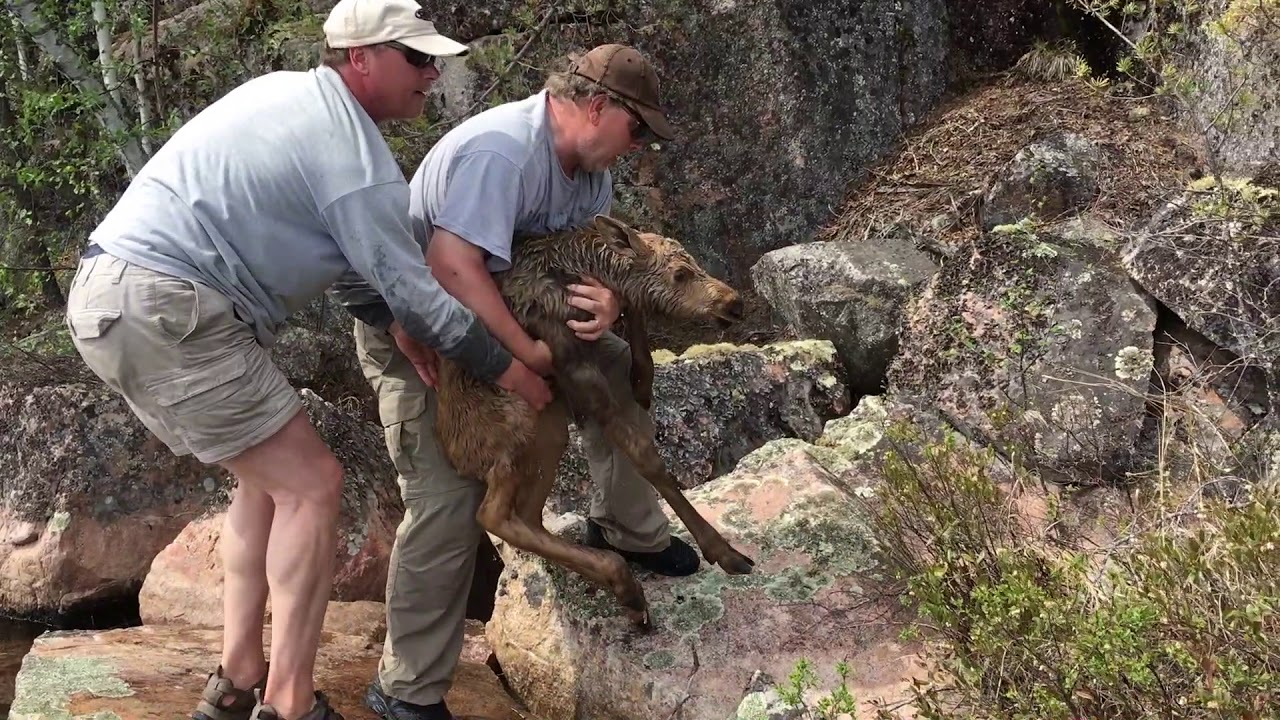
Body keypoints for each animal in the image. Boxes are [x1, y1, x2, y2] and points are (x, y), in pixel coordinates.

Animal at [432, 214, 756, 628]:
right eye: (680, 274)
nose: (734, 302)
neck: (581, 272)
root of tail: (457, 457)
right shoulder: (572, 363)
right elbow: (644, 453)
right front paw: (723, 550)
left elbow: (635, 325)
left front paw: (642, 377)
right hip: (519, 421)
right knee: (492, 513)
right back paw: (624, 582)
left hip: (550, 427)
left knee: (527, 515)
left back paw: (617, 581)